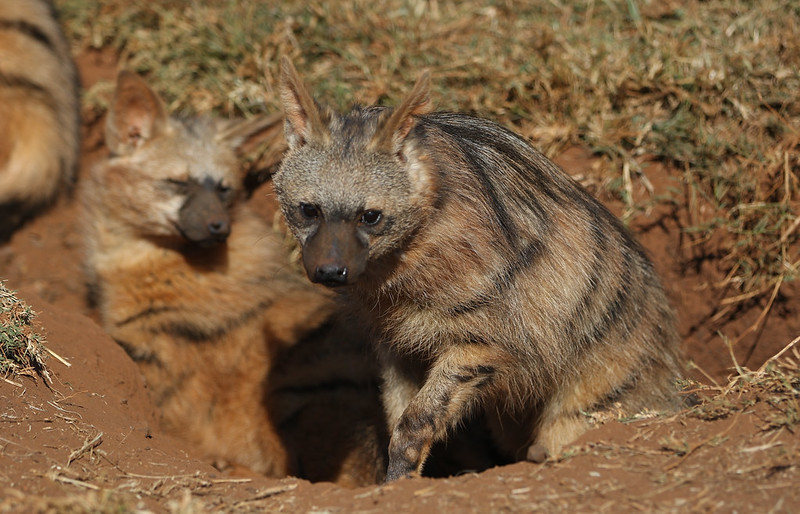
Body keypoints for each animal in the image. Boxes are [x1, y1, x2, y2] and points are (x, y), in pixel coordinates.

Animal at [274, 57, 685, 481]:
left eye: (370, 216)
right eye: (309, 209)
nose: (329, 271)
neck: (399, 276)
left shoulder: (485, 339)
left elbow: (418, 419)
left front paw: (401, 478)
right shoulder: (395, 342)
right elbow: (396, 408)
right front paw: (393, 482)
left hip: (596, 392)